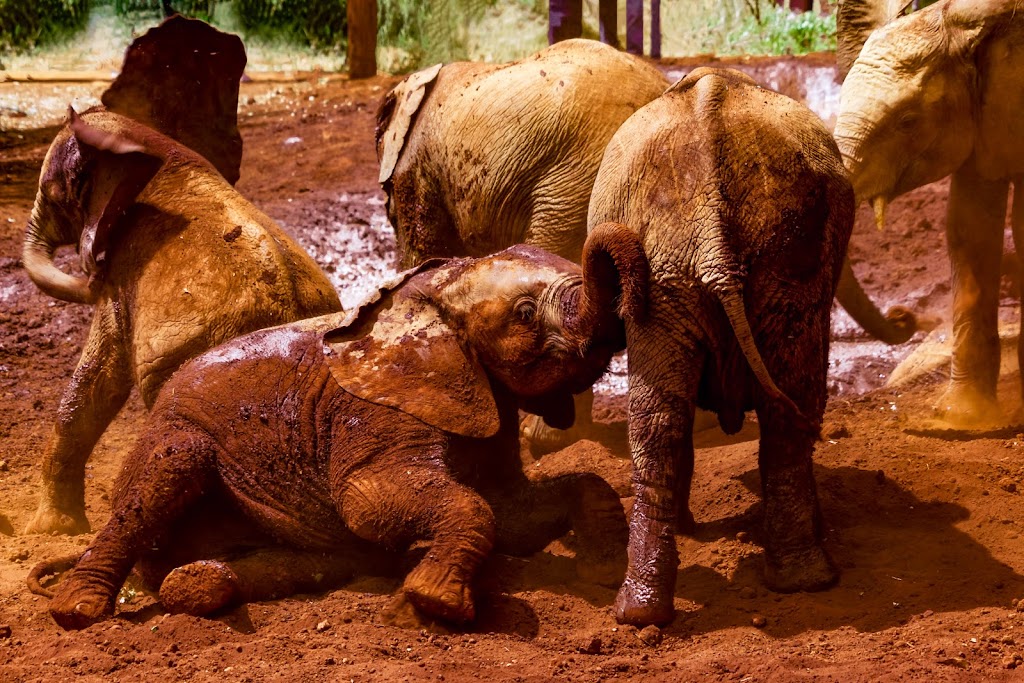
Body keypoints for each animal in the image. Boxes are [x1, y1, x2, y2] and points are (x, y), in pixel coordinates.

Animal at [21, 17, 342, 537]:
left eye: (53, 193)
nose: (87, 273)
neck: (145, 142)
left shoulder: (122, 269)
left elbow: (98, 376)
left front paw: (50, 532)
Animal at [28, 234, 648, 631]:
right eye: (524, 313)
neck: (429, 294)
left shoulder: (480, 404)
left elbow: (514, 508)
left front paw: (604, 575)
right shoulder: (375, 413)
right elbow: (370, 503)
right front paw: (435, 605)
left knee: (309, 562)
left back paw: (197, 582)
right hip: (172, 435)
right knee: (168, 470)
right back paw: (78, 611)